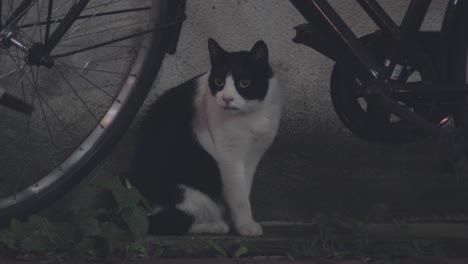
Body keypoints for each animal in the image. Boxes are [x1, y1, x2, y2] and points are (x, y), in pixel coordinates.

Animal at [129, 38, 282, 236]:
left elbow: (244, 189)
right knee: (170, 224)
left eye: (244, 83)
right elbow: (239, 196)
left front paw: (241, 222)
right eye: (218, 81)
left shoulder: (252, 157)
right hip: (189, 193)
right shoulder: (228, 157)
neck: (251, 116)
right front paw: (245, 225)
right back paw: (216, 226)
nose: (227, 98)